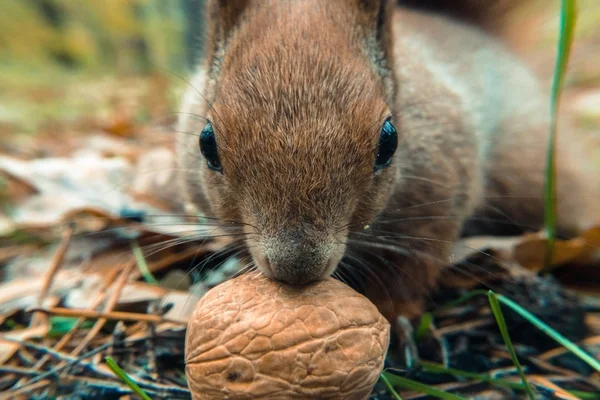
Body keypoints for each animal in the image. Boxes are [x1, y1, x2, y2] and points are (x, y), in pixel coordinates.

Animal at [176, 0, 596, 324]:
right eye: (206, 143)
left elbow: (411, 271)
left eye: (389, 142)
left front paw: (396, 320)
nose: (296, 270)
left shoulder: (438, 199)